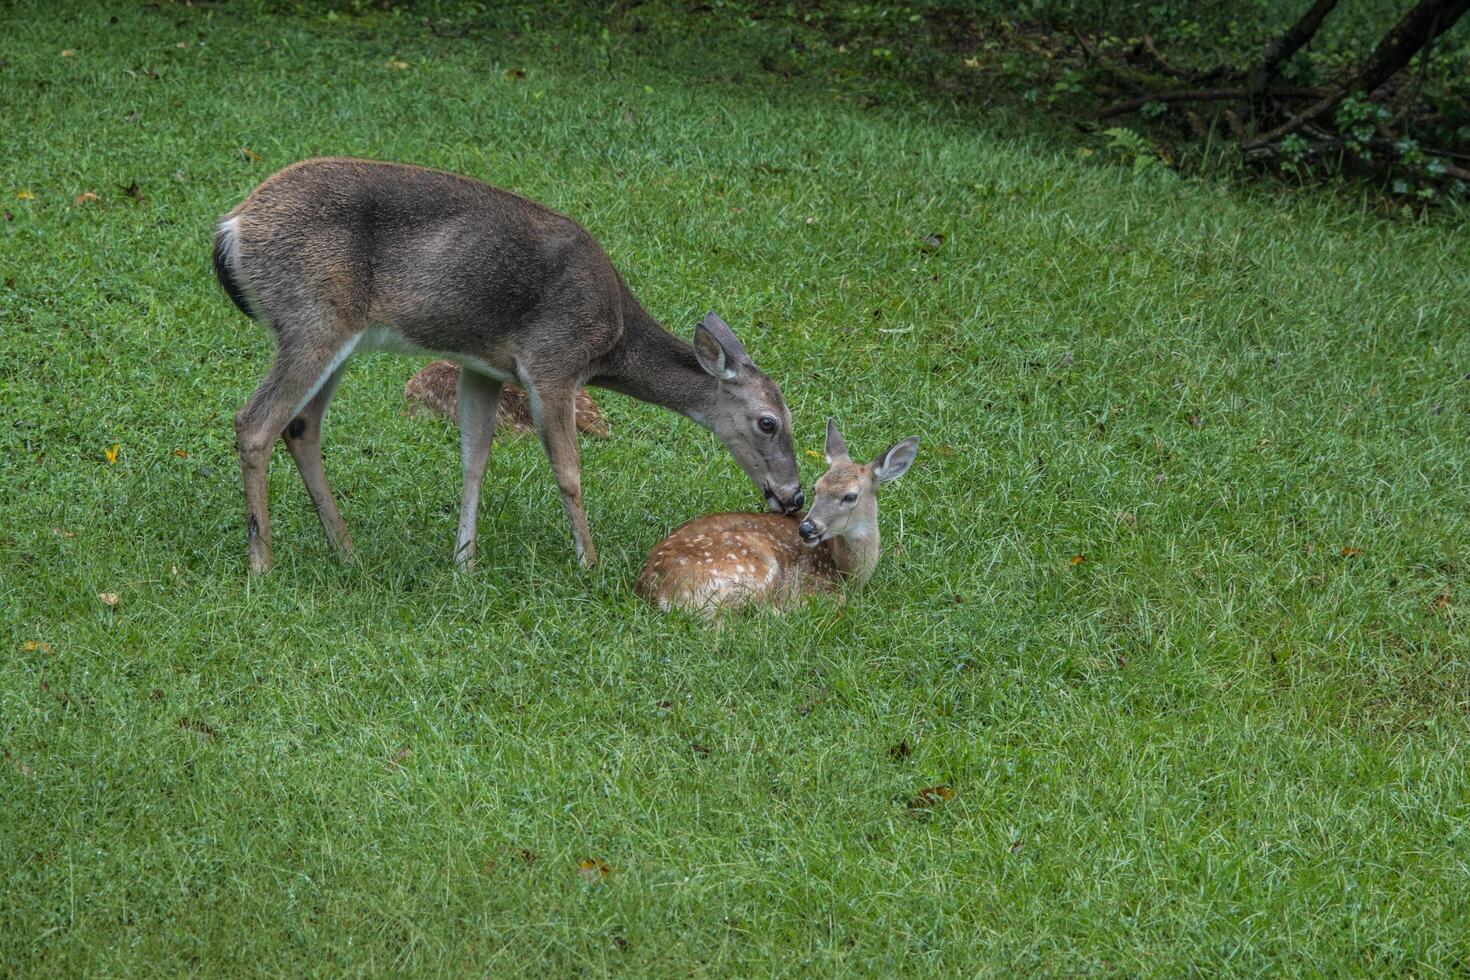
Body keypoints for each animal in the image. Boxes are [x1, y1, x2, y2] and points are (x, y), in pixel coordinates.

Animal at [214, 157, 805, 575]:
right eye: (769, 422)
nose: (794, 496)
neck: (610, 340)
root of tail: (231, 228)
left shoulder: (485, 366)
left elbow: (474, 460)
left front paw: (464, 563)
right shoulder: (552, 360)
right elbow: (568, 471)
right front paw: (590, 564)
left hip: (333, 336)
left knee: (301, 426)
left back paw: (347, 552)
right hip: (312, 320)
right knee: (255, 422)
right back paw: (263, 565)